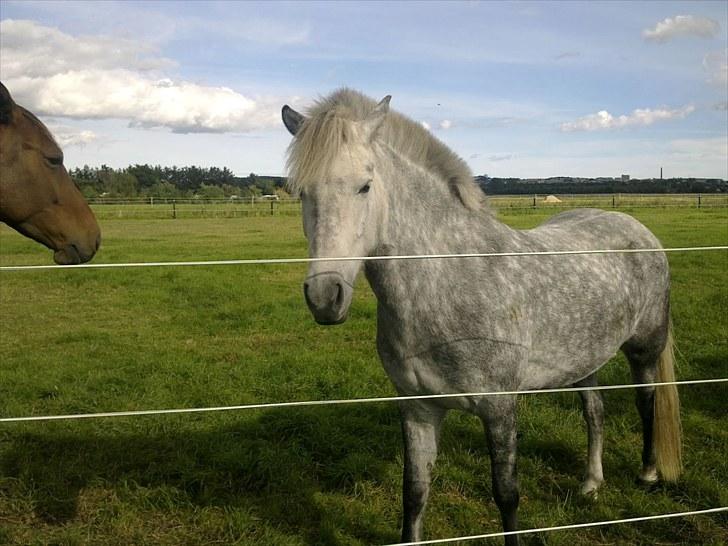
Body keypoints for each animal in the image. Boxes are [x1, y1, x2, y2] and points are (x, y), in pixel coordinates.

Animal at [282, 89, 680, 544]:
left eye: (365, 186)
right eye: (300, 193)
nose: (324, 296)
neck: (451, 280)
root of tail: (635, 226)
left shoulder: (499, 408)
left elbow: (506, 495)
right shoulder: (417, 408)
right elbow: (414, 492)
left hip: (644, 349)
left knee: (646, 402)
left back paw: (648, 474)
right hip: (584, 360)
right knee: (595, 412)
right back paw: (591, 484)